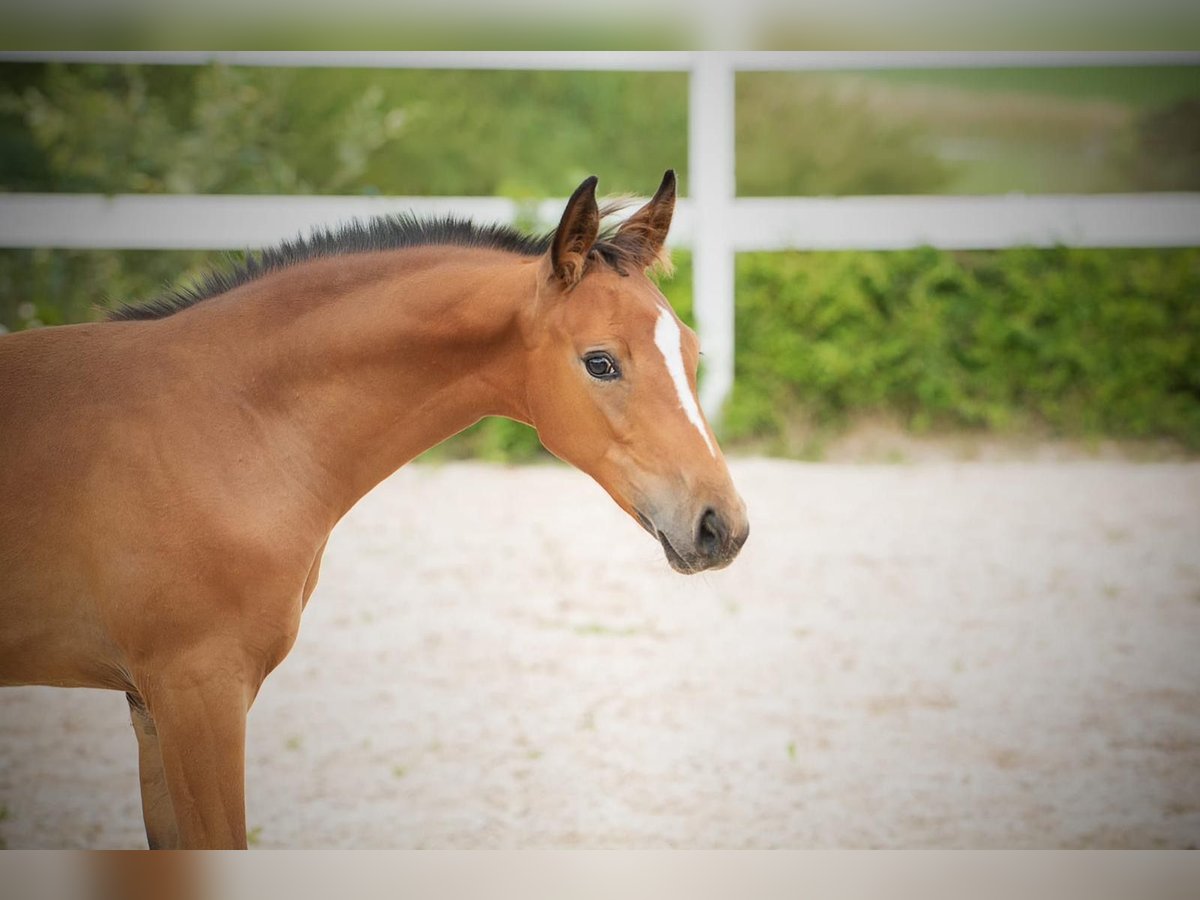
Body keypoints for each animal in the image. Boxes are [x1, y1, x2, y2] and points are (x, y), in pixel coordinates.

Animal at [0, 172, 744, 849]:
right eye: (600, 363)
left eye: (692, 351)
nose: (722, 525)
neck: (227, 421)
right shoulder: (195, 692)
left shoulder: (150, 707)